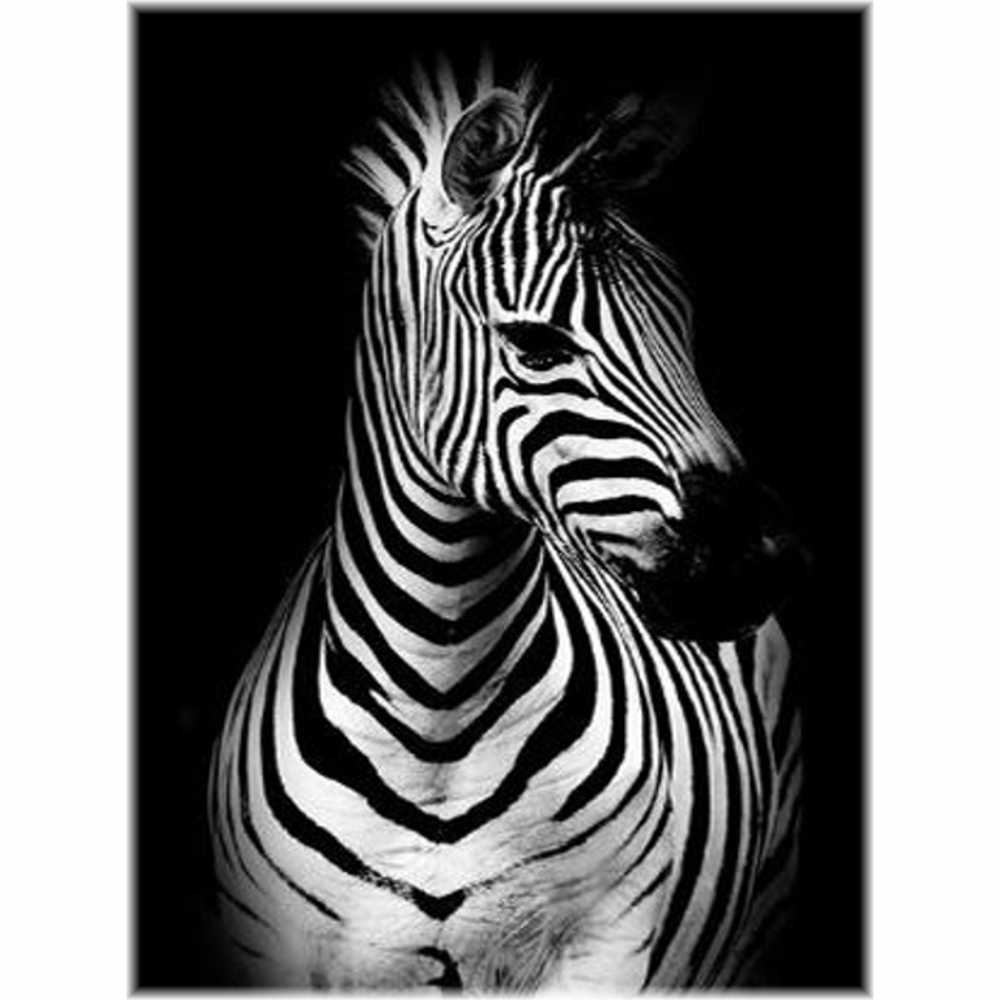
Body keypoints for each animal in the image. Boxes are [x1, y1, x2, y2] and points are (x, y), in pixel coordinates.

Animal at [206, 55, 804, 991]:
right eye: (536, 346)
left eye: (683, 328)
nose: (762, 560)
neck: (438, 707)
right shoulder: (273, 949)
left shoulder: (609, 949)